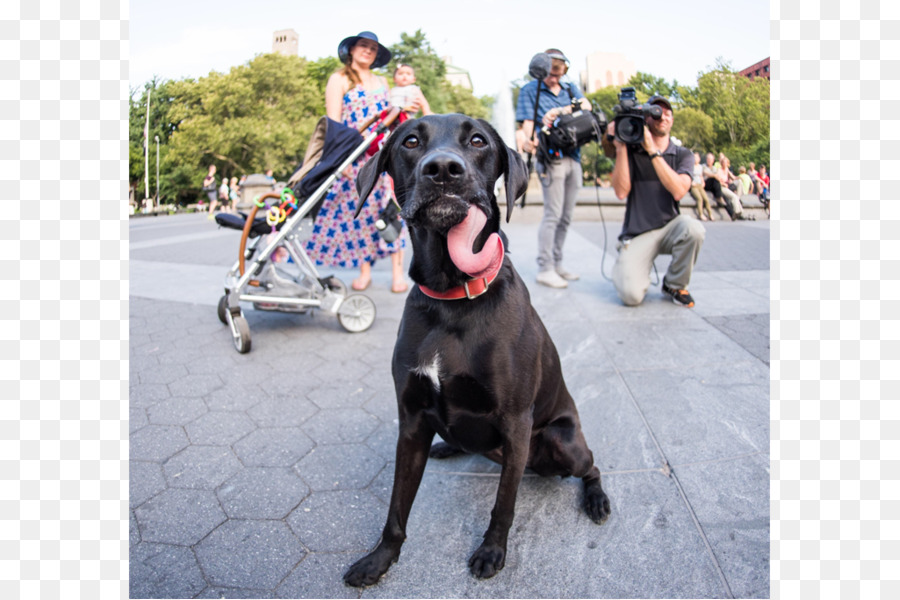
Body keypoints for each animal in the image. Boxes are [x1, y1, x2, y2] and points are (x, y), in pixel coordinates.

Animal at [344, 113, 612, 584]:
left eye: (477, 141)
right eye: (410, 141)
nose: (443, 170)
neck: (452, 297)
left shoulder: (516, 420)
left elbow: (504, 503)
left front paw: (491, 551)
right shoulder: (410, 422)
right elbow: (396, 508)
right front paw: (379, 559)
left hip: (562, 442)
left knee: (591, 465)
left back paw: (596, 498)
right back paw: (448, 446)